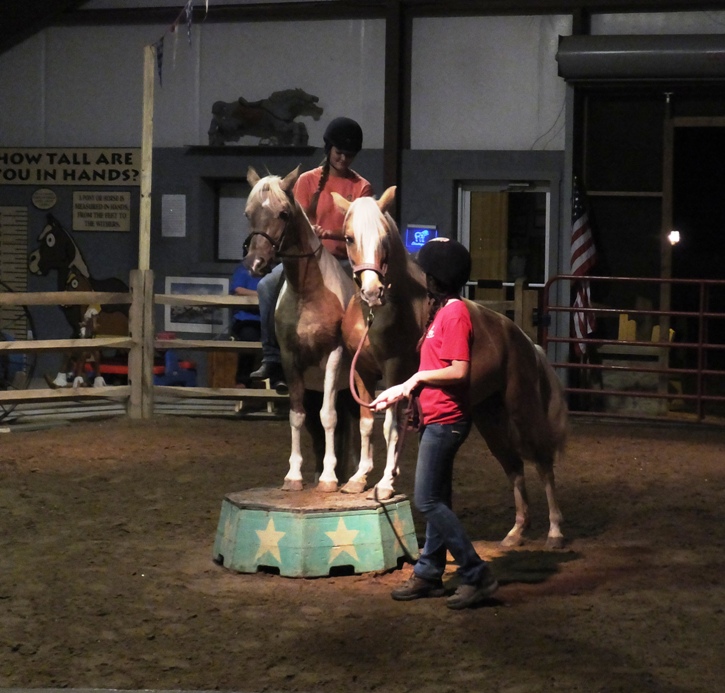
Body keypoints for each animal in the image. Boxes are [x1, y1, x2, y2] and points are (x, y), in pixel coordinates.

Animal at [243, 166, 356, 492]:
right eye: (248, 213)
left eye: (283, 213)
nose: (255, 263)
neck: (308, 292)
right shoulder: (292, 360)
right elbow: (297, 417)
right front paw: (294, 476)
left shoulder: (333, 356)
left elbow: (329, 417)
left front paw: (330, 479)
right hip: (316, 388)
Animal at [336, 188, 568, 548]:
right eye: (349, 238)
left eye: (384, 239)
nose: (373, 292)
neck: (376, 317)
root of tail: (526, 342)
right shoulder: (361, 372)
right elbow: (364, 425)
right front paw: (358, 478)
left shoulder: (395, 373)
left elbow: (390, 428)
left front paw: (386, 483)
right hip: (490, 418)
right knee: (513, 465)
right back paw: (516, 531)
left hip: (522, 410)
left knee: (542, 461)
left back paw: (555, 531)